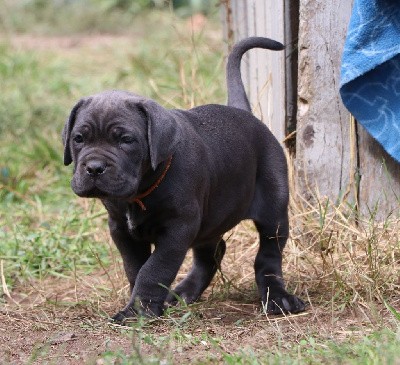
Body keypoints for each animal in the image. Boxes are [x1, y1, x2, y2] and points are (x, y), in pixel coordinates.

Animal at [63, 37, 306, 322]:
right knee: (211, 253)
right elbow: (135, 267)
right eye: (79, 138)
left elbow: (154, 268)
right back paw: (182, 294)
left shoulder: (178, 227)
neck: (141, 193)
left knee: (268, 255)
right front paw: (142, 303)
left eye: (126, 140)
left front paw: (138, 311)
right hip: (212, 218)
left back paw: (278, 298)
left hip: (272, 210)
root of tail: (243, 112)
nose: (94, 168)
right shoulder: (121, 229)